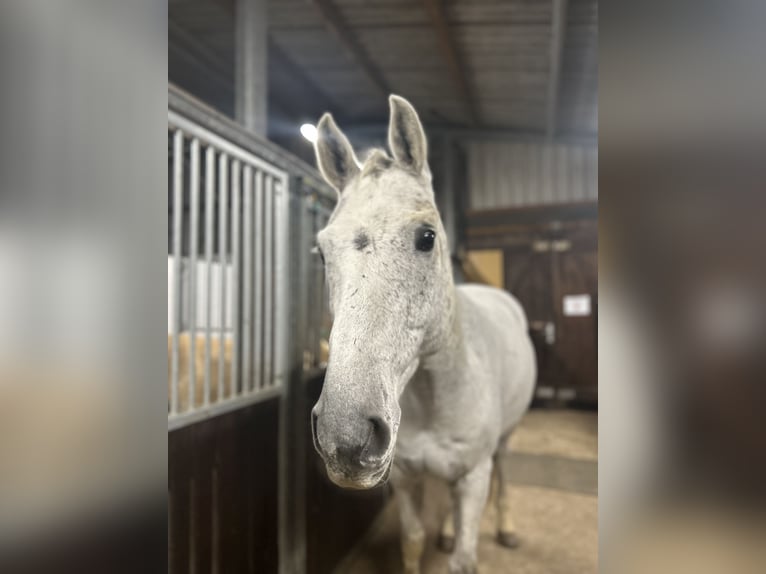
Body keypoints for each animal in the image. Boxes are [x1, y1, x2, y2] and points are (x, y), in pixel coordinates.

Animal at [308, 95, 536, 574]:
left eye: (427, 237)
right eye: (321, 251)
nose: (346, 435)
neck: (434, 399)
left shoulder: (473, 478)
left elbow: (465, 558)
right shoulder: (407, 478)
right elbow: (412, 540)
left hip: (504, 442)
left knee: (505, 473)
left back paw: (506, 529)